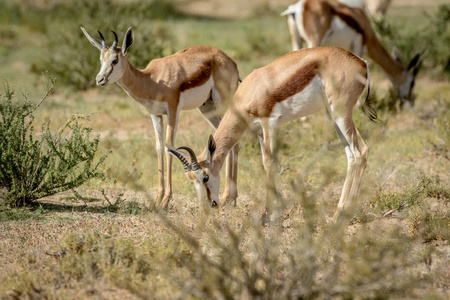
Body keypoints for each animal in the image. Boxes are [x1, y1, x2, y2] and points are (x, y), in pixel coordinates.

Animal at [82, 26, 241, 209]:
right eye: (101, 59)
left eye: (115, 60)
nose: (99, 79)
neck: (153, 80)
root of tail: (231, 61)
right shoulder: (155, 114)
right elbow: (158, 147)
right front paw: (158, 199)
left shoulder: (173, 110)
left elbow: (169, 147)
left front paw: (166, 200)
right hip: (208, 108)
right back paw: (230, 199)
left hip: (223, 103)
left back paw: (229, 198)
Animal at [171, 47, 378, 224]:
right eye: (191, 181)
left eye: (205, 177)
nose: (209, 206)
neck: (253, 89)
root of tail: (361, 62)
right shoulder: (259, 131)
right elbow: (268, 164)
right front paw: (278, 211)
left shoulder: (269, 122)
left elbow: (269, 162)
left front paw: (266, 215)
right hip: (332, 116)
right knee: (351, 156)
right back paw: (338, 213)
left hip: (341, 113)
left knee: (362, 151)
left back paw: (347, 214)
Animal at [282, 0, 422, 102]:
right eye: (412, 83)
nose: (409, 101)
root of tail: (298, 7)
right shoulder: (358, 48)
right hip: (313, 42)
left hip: (297, 42)